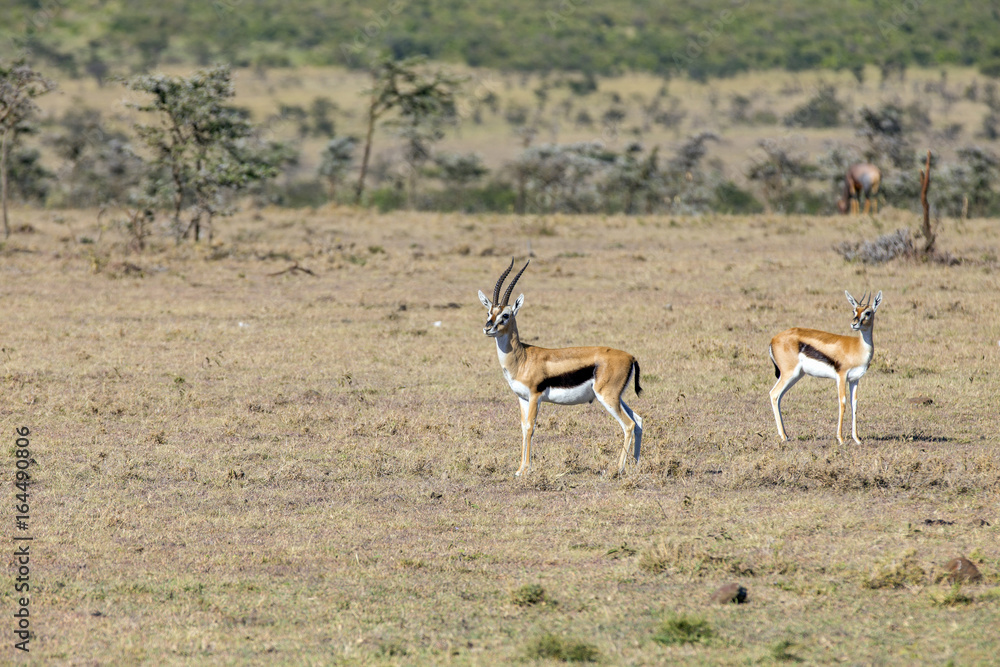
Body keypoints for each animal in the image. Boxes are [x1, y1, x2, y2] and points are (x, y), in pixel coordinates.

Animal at [478, 259, 643, 476]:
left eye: (505, 315)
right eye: (489, 312)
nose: (488, 328)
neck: (522, 358)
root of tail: (630, 356)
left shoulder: (535, 396)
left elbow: (530, 427)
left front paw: (526, 470)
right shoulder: (522, 398)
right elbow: (522, 428)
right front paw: (519, 469)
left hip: (608, 397)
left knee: (629, 424)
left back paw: (618, 469)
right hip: (616, 397)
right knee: (638, 420)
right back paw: (636, 465)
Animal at [768, 290, 883, 445]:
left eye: (868, 312)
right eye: (854, 310)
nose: (854, 324)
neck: (858, 347)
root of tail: (773, 339)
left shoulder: (854, 379)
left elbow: (854, 404)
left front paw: (857, 439)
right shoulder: (841, 376)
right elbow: (842, 403)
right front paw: (840, 438)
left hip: (795, 375)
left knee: (779, 396)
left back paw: (785, 434)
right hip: (789, 374)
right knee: (774, 394)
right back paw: (784, 436)